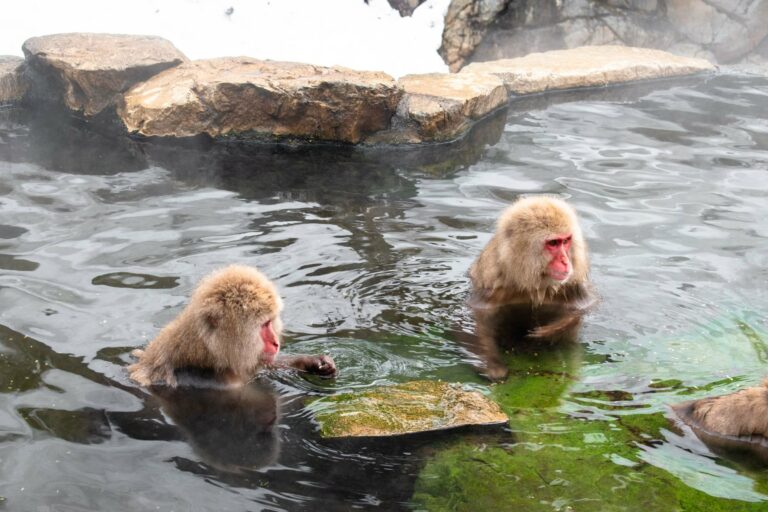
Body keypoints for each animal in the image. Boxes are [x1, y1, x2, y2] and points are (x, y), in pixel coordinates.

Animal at [466, 196, 596, 381]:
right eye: (553, 243)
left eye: (566, 241)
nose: (566, 261)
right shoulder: (492, 286)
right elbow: (480, 321)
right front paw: (492, 365)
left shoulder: (572, 283)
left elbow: (585, 306)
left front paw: (552, 330)